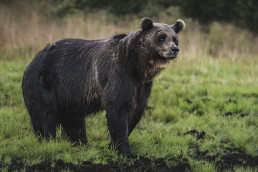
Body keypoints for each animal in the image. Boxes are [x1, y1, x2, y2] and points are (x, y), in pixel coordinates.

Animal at [21, 17, 184, 157]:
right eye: (161, 37)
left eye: (174, 38)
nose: (174, 49)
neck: (137, 66)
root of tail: (33, 59)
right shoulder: (118, 75)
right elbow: (118, 109)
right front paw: (125, 151)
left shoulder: (142, 86)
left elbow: (135, 111)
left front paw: (113, 145)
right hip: (44, 82)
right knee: (44, 115)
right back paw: (48, 142)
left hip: (69, 95)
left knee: (74, 121)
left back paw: (82, 144)